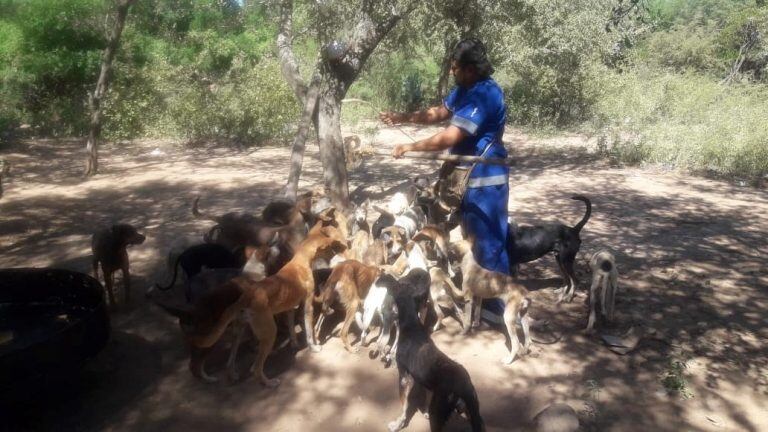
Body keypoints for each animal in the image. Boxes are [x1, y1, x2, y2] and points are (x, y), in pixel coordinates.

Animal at [158, 224, 346, 386]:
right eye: (330, 247)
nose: (341, 251)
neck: (300, 261)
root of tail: (245, 297)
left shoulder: (289, 309)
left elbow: (293, 331)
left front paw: (294, 343)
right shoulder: (307, 306)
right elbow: (309, 331)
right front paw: (313, 347)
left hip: (239, 328)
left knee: (231, 361)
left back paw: (233, 374)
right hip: (268, 332)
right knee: (254, 368)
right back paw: (268, 382)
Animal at [388, 292, 484, 430]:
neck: (412, 324)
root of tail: (464, 385)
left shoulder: (404, 377)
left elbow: (404, 406)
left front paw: (398, 423)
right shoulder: (419, 378)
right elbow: (422, 395)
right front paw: (423, 411)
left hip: (437, 413)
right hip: (473, 412)